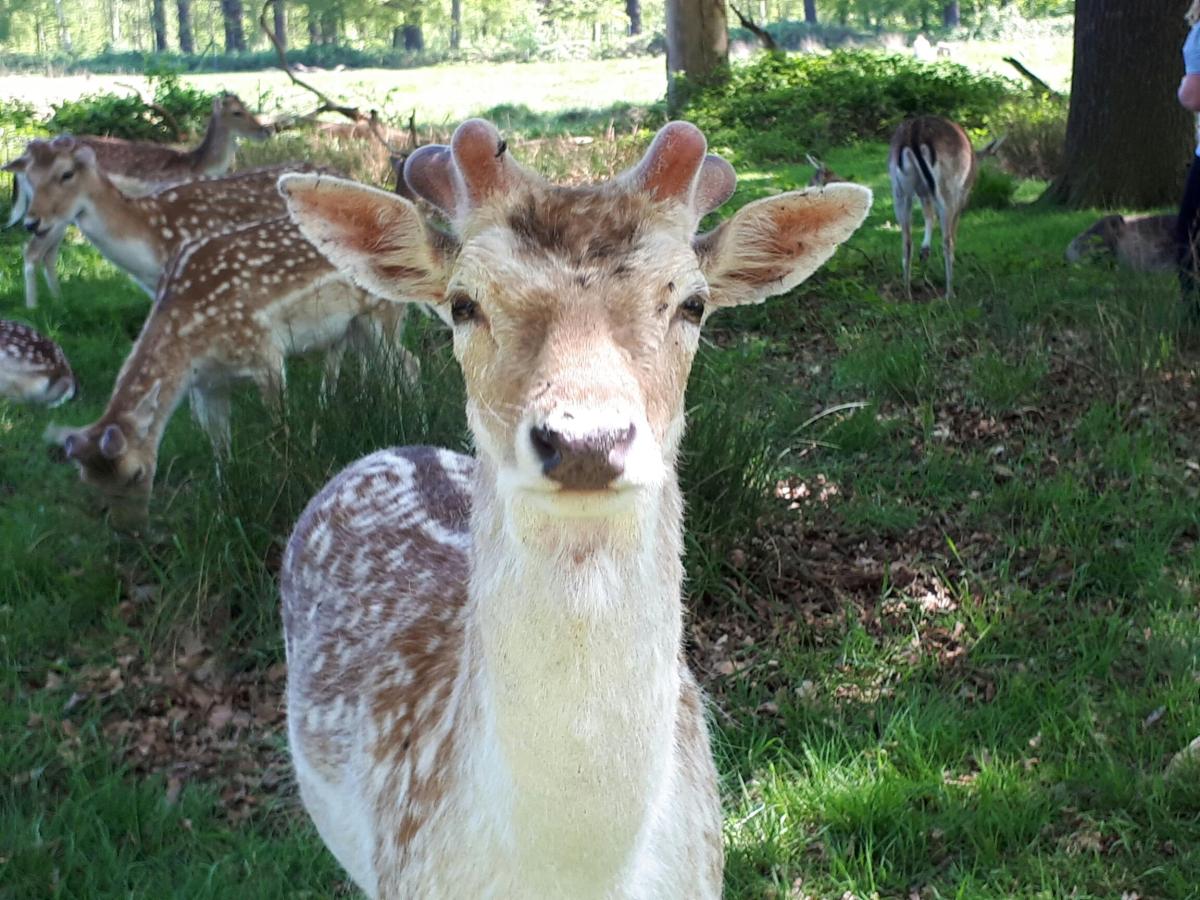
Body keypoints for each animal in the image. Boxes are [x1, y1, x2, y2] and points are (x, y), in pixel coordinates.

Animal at [5, 92, 271, 309]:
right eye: (237, 112)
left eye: (245, 106)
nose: (266, 131)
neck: (197, 166)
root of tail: (20, 164)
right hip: (51, 217)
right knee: (31, 252)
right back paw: (33, 308)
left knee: (48, 254)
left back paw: (58, 301)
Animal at [53, 215, 416, 530]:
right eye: (90, 484)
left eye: (136, 474)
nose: (129, 531)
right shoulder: (208, 385)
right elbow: (219, 445)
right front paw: (222, 502)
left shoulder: (266, 352)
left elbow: (280, 428)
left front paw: (285, 483)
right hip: (353, 328)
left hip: (381, 312)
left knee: (408, 363)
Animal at [888, 114, 1002, 299]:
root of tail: (915, 132)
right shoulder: (961, 195)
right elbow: (951, 229)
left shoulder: (924, 192)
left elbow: (929, 214)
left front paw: (924, 251)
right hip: (945, 187)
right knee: (947, 239)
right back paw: (949, 293)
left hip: (899, 190)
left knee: (906, 240)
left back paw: (907, 292)